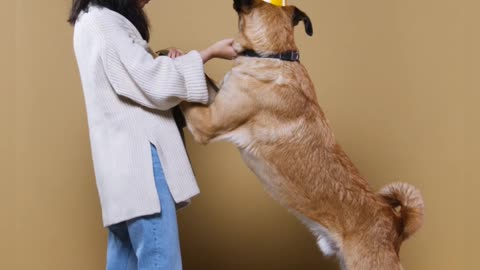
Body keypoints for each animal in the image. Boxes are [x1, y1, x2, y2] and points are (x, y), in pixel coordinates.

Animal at [179, 1, 424, 268]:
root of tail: (396, 223)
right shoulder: (216, 104)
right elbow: (203, 82)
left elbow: (186, 97)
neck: (275, 54)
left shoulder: (208, 123)